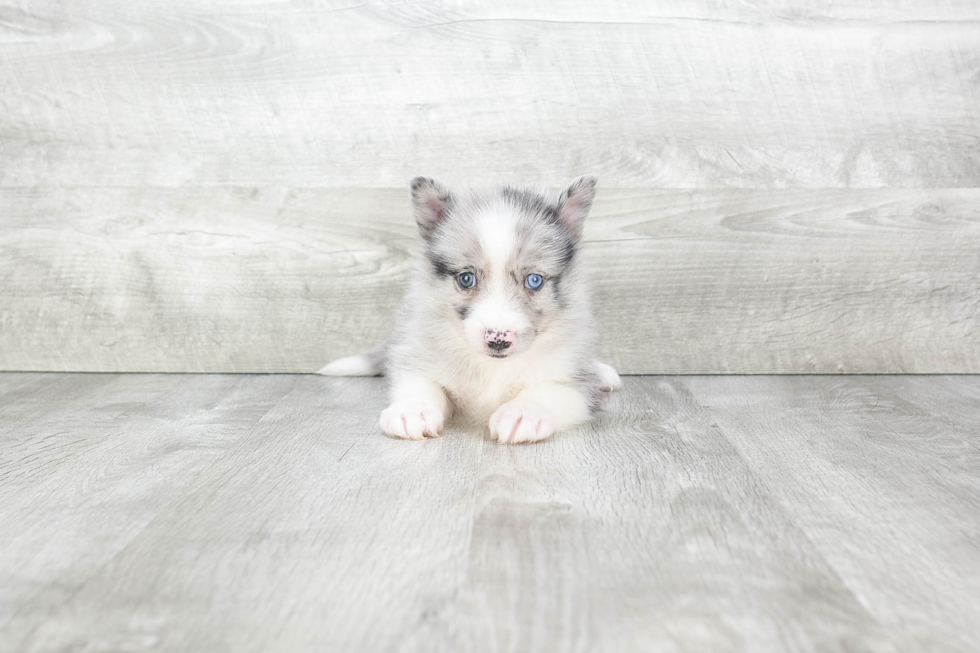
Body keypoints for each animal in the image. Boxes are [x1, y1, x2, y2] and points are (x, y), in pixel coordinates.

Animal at [326, 174, 624, 444]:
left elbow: (546, 392)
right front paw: (412, 410)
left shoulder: (576, 387)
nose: (498, 340)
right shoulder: (415, 358)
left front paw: (522, 412)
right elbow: (422, 385)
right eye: (466, 278)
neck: (492, 368)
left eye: (534, 280)